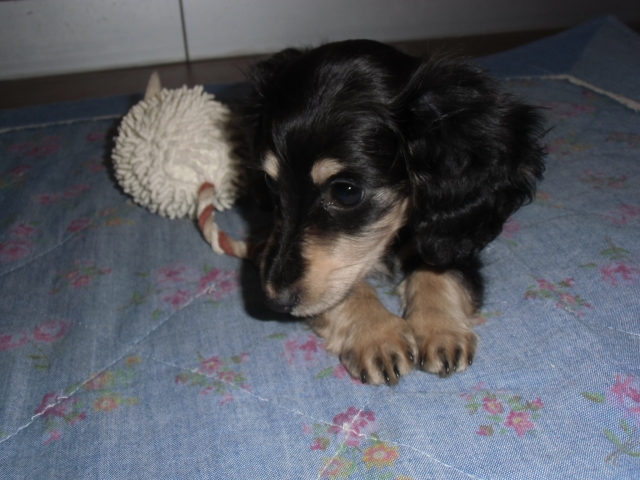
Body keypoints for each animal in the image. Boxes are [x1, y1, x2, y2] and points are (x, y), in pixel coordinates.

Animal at [244, 40, 545, 386]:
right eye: (271, 182)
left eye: (346, 192)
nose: (274, 301)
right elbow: (343, 286)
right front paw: (376, 334)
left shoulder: (455, 230)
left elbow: (438, 267)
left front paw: (440, 327)